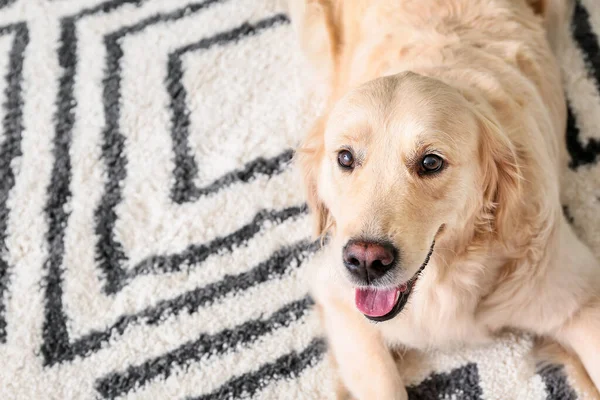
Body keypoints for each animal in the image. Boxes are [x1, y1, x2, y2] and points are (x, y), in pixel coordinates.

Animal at [288, 0, 600, 398]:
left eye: (431, 162)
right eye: (345, 158)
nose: (365, 261)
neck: (449, 275)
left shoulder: (581, 299)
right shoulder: (339, 300)